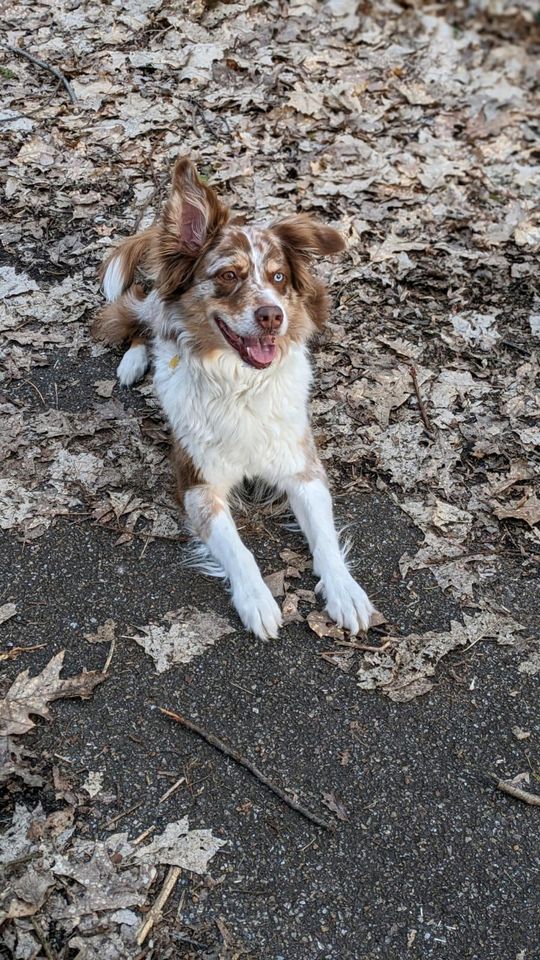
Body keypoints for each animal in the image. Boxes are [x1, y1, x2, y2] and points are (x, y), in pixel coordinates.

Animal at [95, 156, 374, 636]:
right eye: (228, 275)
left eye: (278, 277)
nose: (273, 316)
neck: (240, 384)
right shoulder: (198, 484)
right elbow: (239, 551)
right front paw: (257, 600)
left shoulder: (302, 468)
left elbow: (324, 537)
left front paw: (344, 590)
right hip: (152, 307)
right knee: (141, 315)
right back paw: (133, 360)